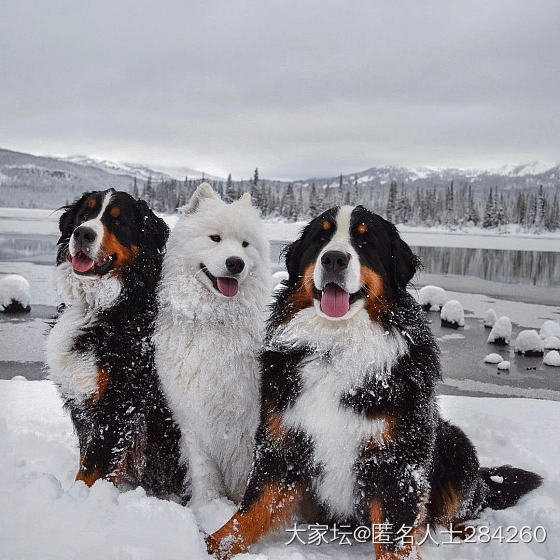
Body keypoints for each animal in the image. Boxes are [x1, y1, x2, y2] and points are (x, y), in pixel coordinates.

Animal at [46, 188, 186, 498]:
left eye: (118, 222)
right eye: (85, 213)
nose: (83, 234)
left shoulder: (118, 405)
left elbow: (91, 468)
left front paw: (81, 499)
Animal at [153, 185, 272, 508]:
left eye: (245, 244)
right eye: (215, 238)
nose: (236, 263)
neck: (215, 322)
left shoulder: (251, 426)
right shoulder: (193, 419)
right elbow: (203, 474)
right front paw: (206, 509)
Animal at [207, 205, 544, 560]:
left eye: (366, 241)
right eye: (320, 238)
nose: (334, 259)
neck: (337, 347)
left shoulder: (399, 461)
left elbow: (395, 537)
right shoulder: (282, 442)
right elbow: (249, 513)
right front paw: (209, 544)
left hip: (455, 443)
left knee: (465, 503)